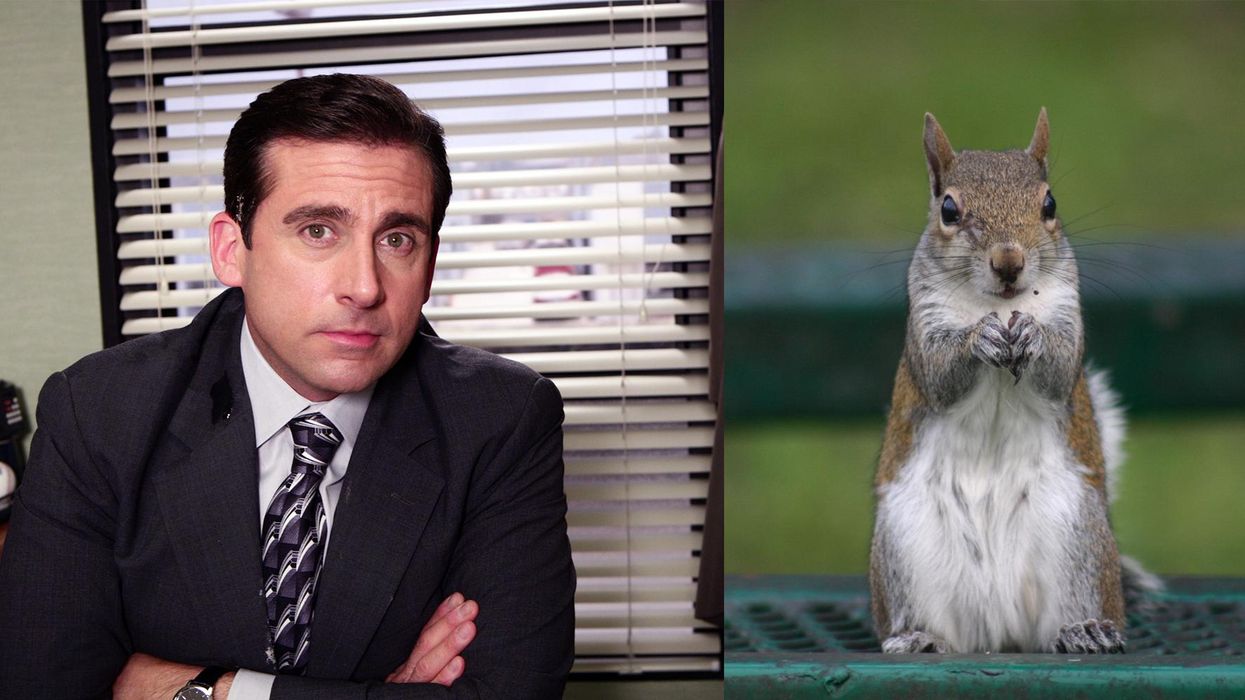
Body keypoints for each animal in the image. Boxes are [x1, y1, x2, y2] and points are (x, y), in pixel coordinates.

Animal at [869, 109, 1149, 654]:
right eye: (949, 209)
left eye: (1050, 203)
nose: (1009, 261)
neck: (999, 305)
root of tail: (997, 631)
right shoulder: (925, 328)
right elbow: (940, 375)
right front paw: (979, 339)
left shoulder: (1067, 317)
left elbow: (1059, 371)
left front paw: (1032, 336)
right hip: (902, 546)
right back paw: (917, 638)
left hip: (1079, 539)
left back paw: (1085, 630)